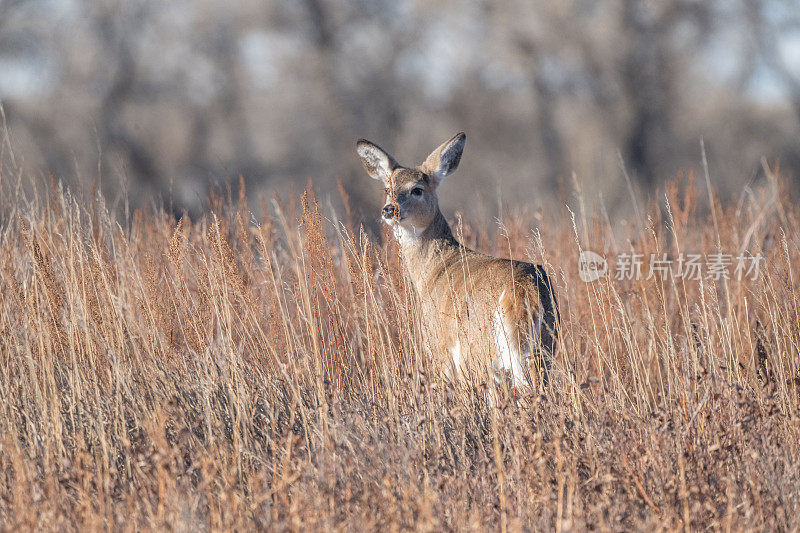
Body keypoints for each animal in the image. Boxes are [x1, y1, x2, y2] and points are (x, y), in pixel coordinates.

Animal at [360, 131, 560, 388]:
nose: (389, 209)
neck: (433, 270)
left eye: (417, 189)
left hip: (480, 350)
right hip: (544, 349)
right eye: (387, 189)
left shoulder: (439, 346)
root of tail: (523, 288)